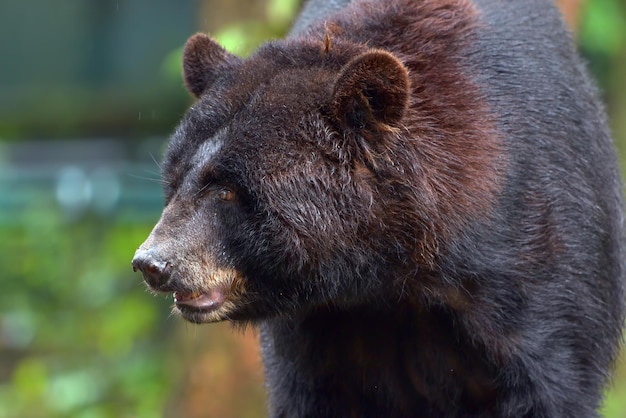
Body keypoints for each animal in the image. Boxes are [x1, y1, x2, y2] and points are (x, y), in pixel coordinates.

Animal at [130, 0, 620, 414]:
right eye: (176, 177)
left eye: (227, 188)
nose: (152, 263)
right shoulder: (317, 334)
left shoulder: (533, 269)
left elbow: (549, 374)